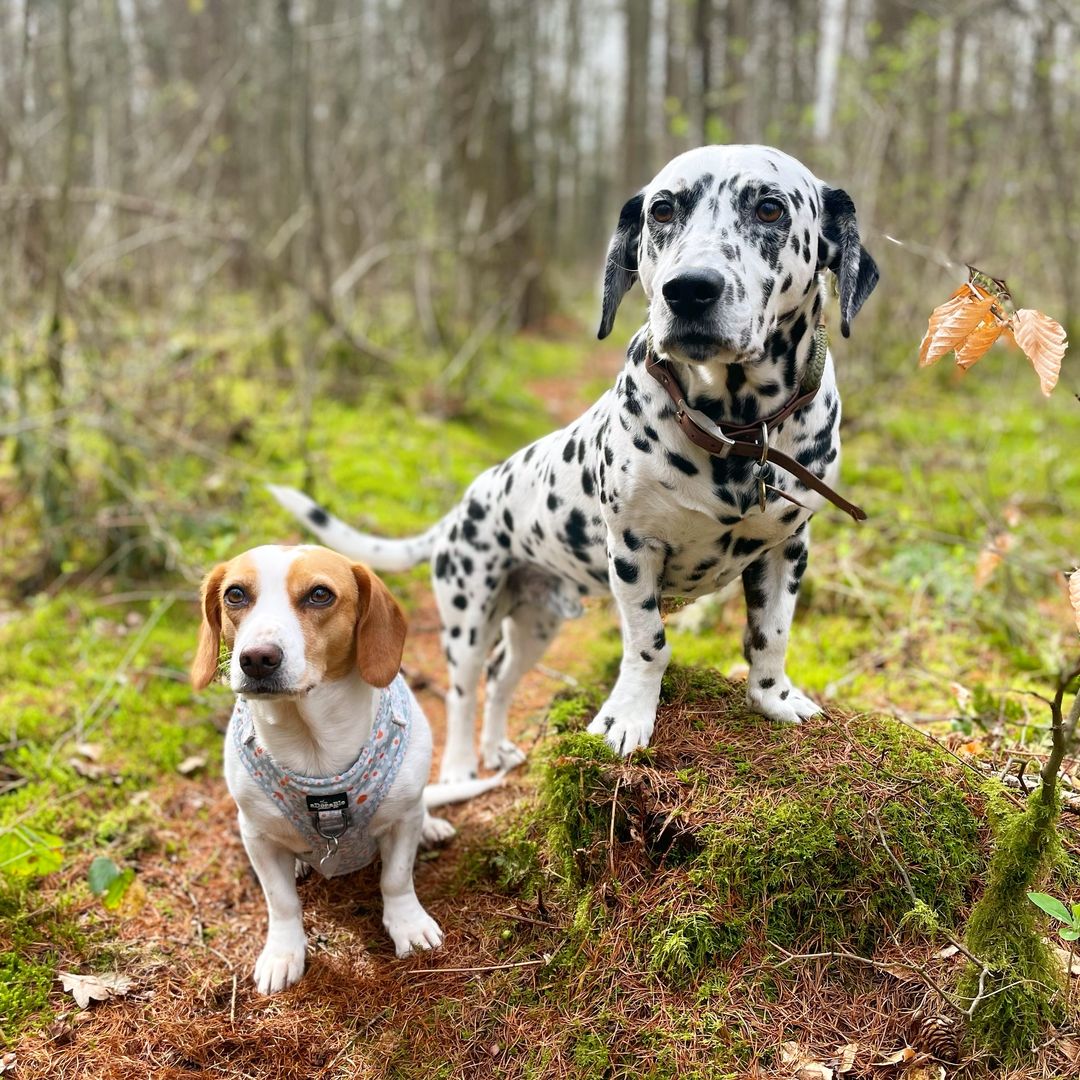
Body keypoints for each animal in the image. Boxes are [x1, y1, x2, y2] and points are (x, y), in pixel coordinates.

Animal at [191, 544, 501, 989]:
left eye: (320, 594)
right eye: (235, 594)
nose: (257, 659)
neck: (315, 749)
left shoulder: (403, 819)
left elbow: (396, 878)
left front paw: (408, 926)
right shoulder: (255, 835)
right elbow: (281, 902)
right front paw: (283, 953)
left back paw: (432, 827)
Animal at [270, 145, 876, 786]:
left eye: (769, 208)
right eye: (662, 209)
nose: (688, 290)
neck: (738, 430)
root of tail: (461, 509)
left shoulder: (787, 550)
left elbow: (771, 635)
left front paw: (773, 699)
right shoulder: (634, 553)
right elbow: (649, 645)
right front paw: (627, 719)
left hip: (536, 624)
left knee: (500, 678)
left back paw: (497, 749)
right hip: (467, 616)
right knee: (463, 692)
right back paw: (459, 770)